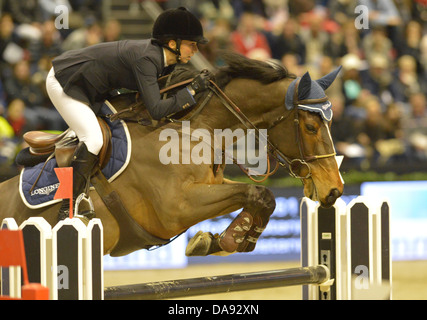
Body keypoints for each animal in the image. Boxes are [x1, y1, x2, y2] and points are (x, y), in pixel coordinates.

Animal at [0, 52, 344, 258]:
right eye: (311, 127)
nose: (335, 191)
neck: (194, 129)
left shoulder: (209, 187)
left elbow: (263, 196)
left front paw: (221, 240)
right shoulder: (176, 207)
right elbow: (255, 192)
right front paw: (228, 239)